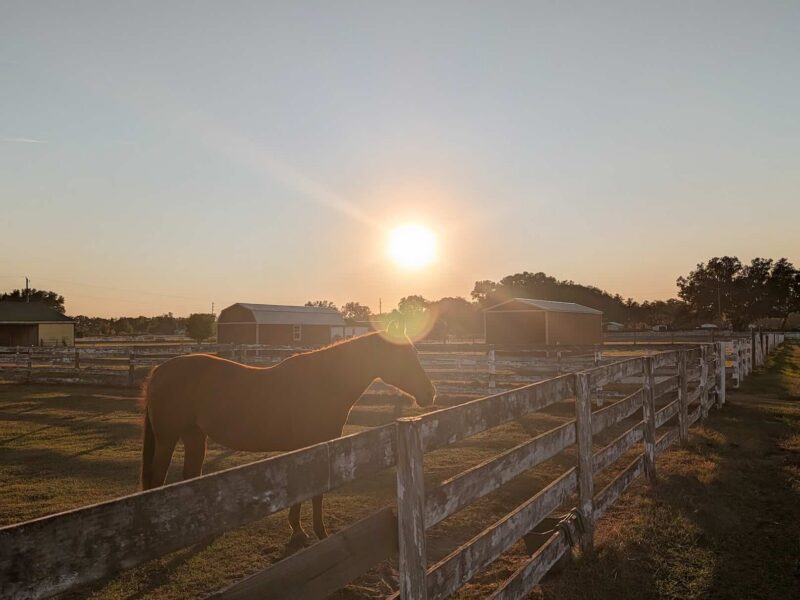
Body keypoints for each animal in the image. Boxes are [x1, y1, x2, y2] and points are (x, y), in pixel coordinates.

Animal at [139, 330, 436, 546]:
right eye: (404, 357)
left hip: (194, 436)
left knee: (190, 477)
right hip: (167, 439)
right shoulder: (313, 447)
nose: (430, 393)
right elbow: (313, 492)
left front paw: (299, 529)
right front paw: (313, 532)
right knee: (158, 479)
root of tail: (160, 370)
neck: (324, 382)